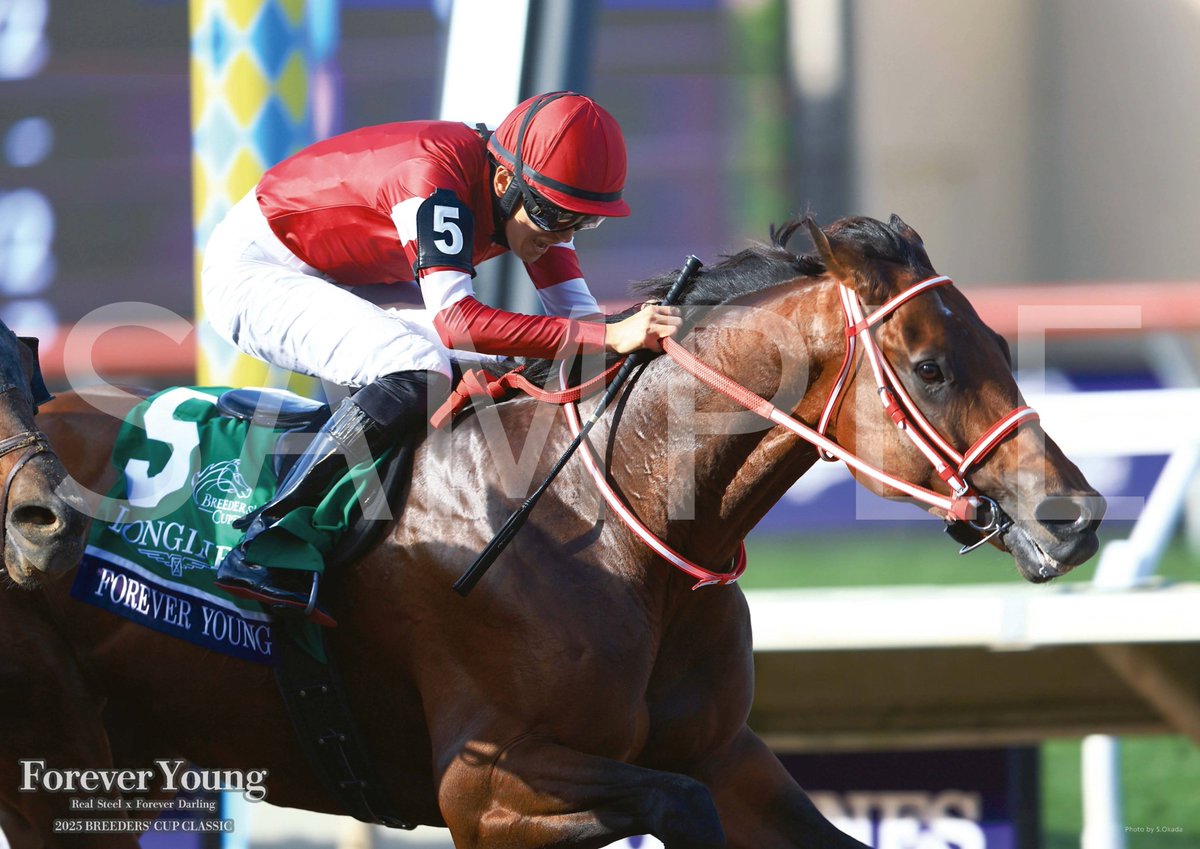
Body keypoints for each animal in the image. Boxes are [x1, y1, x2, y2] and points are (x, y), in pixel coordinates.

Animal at [2, 215, 1104, 848]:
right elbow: (675, 805)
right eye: (930, 367)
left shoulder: (724, 751)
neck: (613, 523)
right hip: (51, 769)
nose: (1076, 516)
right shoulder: (485, 785)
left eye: (1004, 345)